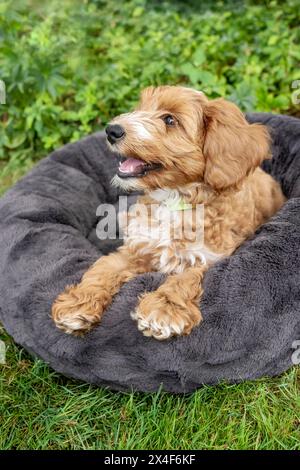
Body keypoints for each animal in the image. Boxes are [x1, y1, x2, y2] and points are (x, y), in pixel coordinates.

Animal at [52, 86, 286, 340]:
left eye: (170, 120)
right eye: (140, 108)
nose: (112, 130)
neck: (173, 199)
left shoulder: (207, 257)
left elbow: (184, 278)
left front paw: (164, 308)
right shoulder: (138, 247)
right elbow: (105, 267)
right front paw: (78, 303)